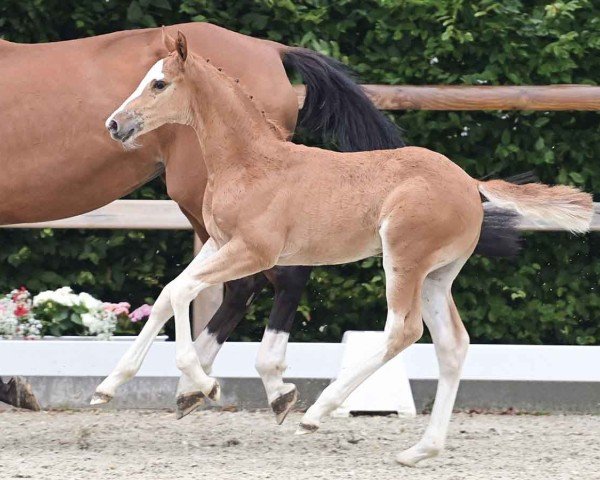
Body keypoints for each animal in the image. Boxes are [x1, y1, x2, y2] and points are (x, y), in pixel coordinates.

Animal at [98, 32, 592, 464]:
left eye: (159, 83)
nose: (115, 124)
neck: (250, 162)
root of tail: (470, 183)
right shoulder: (218, 244)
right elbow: (169, 292)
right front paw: (109, 386)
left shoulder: (254, 251)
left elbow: (182, 293)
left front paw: (207, 385)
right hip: (437, 275)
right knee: (452, 344)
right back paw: (420, 450)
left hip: (403, 260)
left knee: (402, 330)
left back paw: (318, 413)